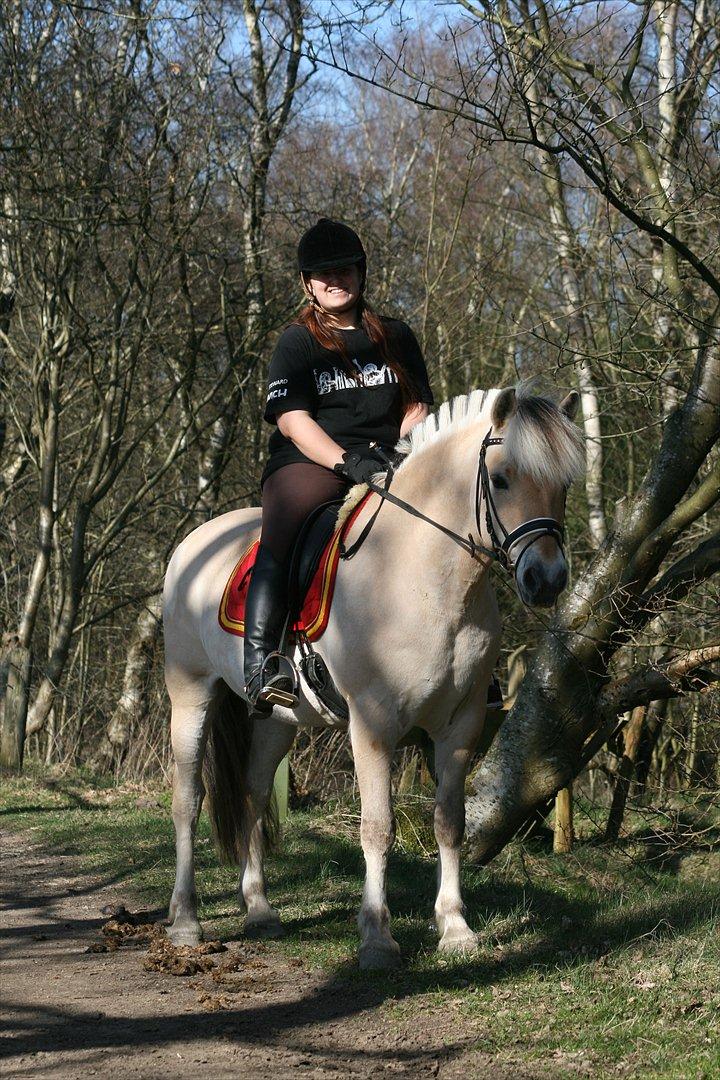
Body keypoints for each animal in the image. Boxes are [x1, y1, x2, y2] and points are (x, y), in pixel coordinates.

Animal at [165, 386, 587, 972]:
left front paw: (455, 927)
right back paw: (185, 922)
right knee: (188, 798)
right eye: (501, 479)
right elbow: (378, 827)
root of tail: (195, 541)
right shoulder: (372, 725)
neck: (425, 580)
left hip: (277, 719)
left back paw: (260, 910)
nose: (546, 580)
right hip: (189, 692)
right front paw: (377, 937)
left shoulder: (460, 726)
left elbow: (450, 822)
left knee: (253, 793)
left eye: (564, 485)